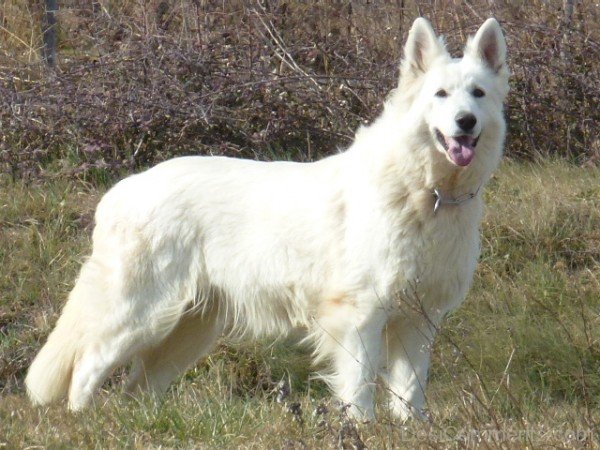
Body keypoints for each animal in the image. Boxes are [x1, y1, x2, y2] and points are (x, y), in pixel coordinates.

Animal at [25, 15, 508, 420]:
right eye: (440, 95)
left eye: (478, 94)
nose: (465, 121)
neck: (425, 192)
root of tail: (123, 190)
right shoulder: (362, 315)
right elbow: (361, 386)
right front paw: (363, 429)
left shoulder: (419, 319)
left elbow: (410, 390)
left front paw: (411, 430)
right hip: (141, 315)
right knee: (87, 365)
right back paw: (82, 421)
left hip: (187, 329)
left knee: (137, 386)